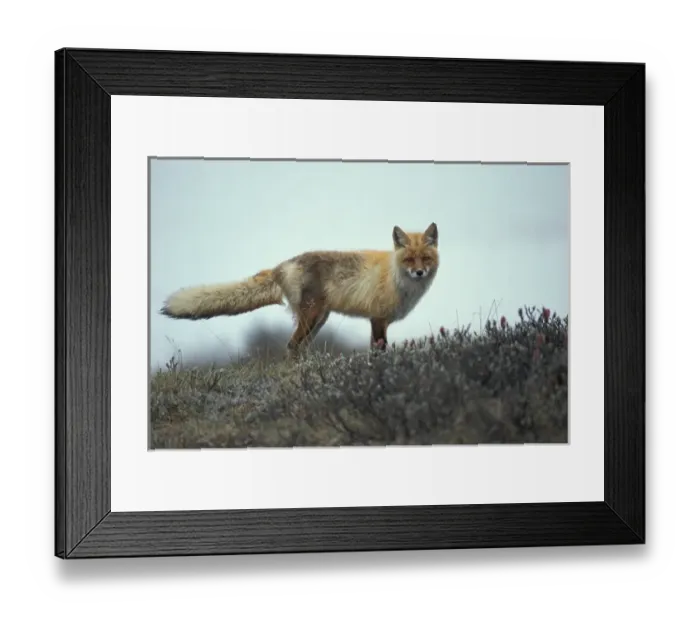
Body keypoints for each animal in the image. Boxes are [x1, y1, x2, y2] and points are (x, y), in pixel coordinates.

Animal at [160, 222, 439, 357]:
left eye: (425, 258)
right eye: (409, 259)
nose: (419, 273)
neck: (395, 277)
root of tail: (281, 266)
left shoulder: (376, 320)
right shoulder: (378, 319)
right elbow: (380, 351)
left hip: (318, 320)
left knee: (298, 347)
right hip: (312, 317)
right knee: (292, 345)